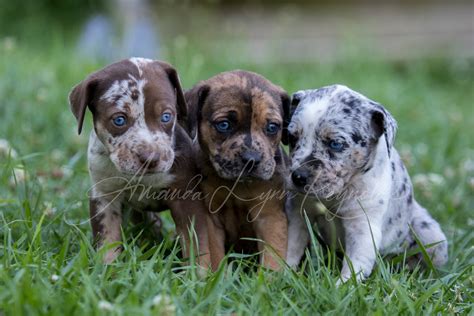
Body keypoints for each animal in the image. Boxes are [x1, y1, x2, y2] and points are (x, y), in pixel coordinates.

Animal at [69, 57, 210, 266]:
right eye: (119, 120)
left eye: (166, 116)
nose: (150, 158)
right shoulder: (104, 196)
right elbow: (107, 243)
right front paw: (107, 270)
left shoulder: (188, 199)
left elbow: (199, 245)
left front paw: (201, 273)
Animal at [186, 70, 290, 270]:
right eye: (224, 125)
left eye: (272, 127)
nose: (252, 160)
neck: (238, 185)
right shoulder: (211, 218)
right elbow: (215, 255)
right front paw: (216, 275)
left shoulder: (270, 216)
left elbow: (273, 257)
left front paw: (270, 278)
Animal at [286, 84, 448, 284]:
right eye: (292, 138)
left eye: (335, 144)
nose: (297, 177)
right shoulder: (298, 214)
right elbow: (292, 247)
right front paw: (280, 275)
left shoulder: (363, 226)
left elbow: (355, 265)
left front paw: (342, 286)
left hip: (430, 235)